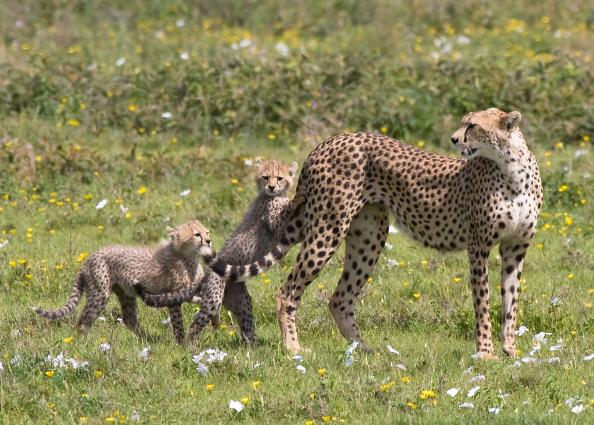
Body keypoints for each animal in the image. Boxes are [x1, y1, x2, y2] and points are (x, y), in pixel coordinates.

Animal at [204, 107, 540, 356]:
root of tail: (329, 141)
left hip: (369, 235)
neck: (510, 169)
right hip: (329, 228)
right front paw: (485, 353)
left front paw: (511, 351)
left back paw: (364, 350)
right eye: (463, 123)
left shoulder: (515, 248)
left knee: (340, 298)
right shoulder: (478, 246)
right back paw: (293, 348)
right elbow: (482, 303)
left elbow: (511, 303)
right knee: (286, 291)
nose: (454, 139)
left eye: (472, 125)